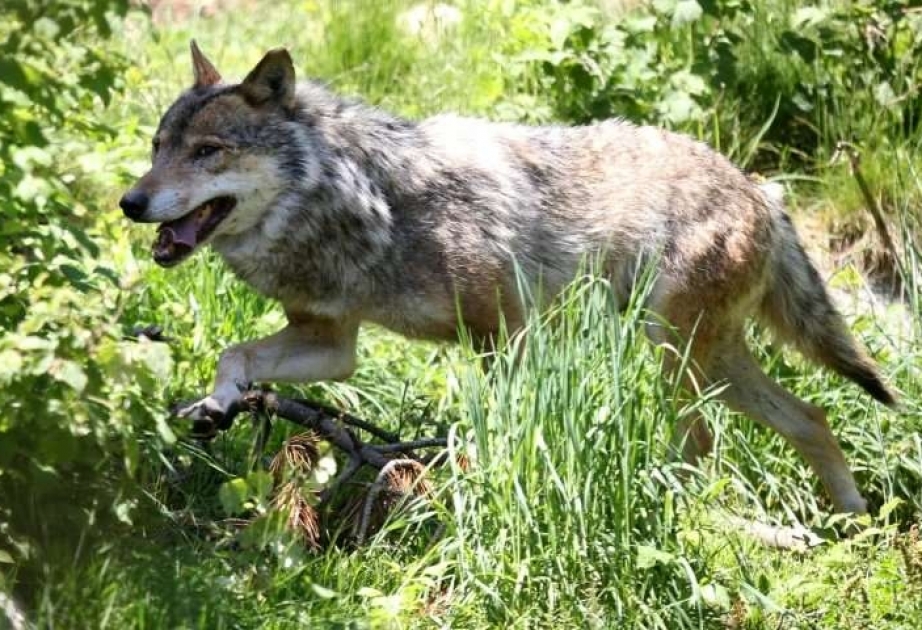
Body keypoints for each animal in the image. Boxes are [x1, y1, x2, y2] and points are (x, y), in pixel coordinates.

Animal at [121, 42, 897, 515]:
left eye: (208, 152)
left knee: (709, 443)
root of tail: (760, 190)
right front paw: (216, 405)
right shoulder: (334, 344)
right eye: (157, 148)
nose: (130, 202)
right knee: (813, 417)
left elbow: (498, 429)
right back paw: (851, 523)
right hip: (710, 361)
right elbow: (236, 356)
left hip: (675, 357)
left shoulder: (508, 335)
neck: (366, 202)